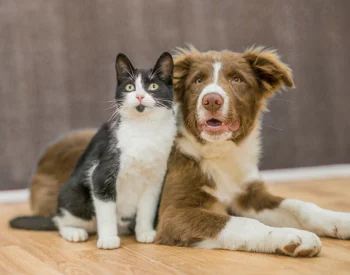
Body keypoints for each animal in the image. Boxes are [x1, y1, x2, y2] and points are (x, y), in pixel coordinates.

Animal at [10, 51, 178, 250]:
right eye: (130, 87)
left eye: (153, 86)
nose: (139, 96)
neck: (144, 129)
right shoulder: (101, 173)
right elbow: (106, 210)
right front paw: (108, 239)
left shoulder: (155, 179)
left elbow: (147, 207)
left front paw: (144, 232)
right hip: (76, 196)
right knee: (61, 221)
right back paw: (74, 232)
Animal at [154, 45, 350, 258]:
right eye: (198, 81)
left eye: (237, 79)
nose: (211, 100)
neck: (221, 153)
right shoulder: (172, 214)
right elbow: (242, 223)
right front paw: (290, 236)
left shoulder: (248, 195)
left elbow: (299, 205)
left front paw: (341, 220)